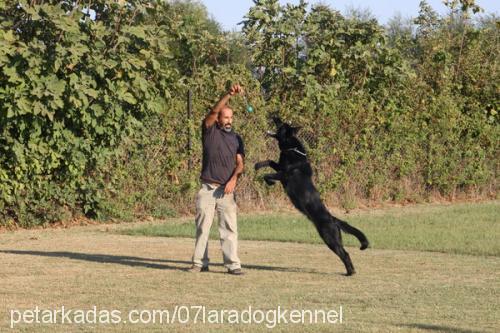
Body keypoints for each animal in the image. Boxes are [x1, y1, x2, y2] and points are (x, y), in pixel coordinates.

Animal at [256, 116, 370, 274]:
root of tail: (333, 219)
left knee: (344, 253)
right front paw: (257, 165)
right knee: (345, 252)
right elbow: (269, 161)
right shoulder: (279, 167)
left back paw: (349, 272)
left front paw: (269, 182)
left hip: (329, 238)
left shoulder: (284, 175)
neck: (292, 149)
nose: (275, 115)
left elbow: (267, 175)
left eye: (281, 124)